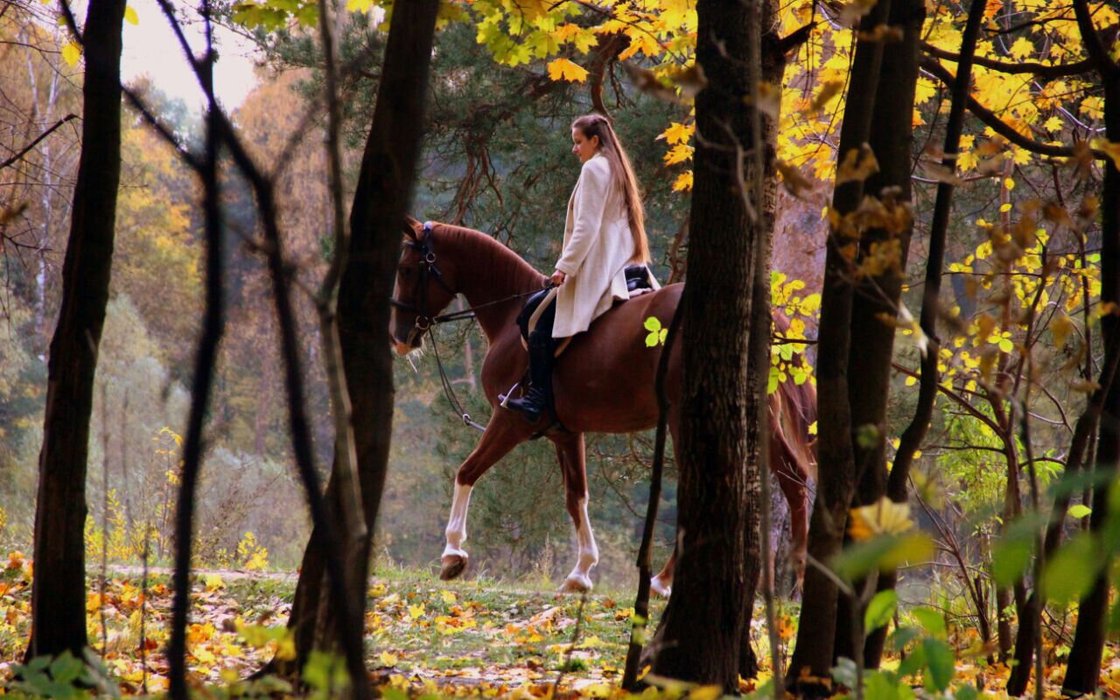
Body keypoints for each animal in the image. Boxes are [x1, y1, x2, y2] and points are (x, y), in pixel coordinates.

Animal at [387, 218, 815, 591]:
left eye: (407, 269)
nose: (399, 338)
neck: (511, 316)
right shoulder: (564, 432)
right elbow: (576, 496)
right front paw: (581, 572)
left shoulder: (510, 421)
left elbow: (466, 472)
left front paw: (452, 554)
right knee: (793, 479)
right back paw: (797, 570)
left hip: (685, 417)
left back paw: (662, 581)